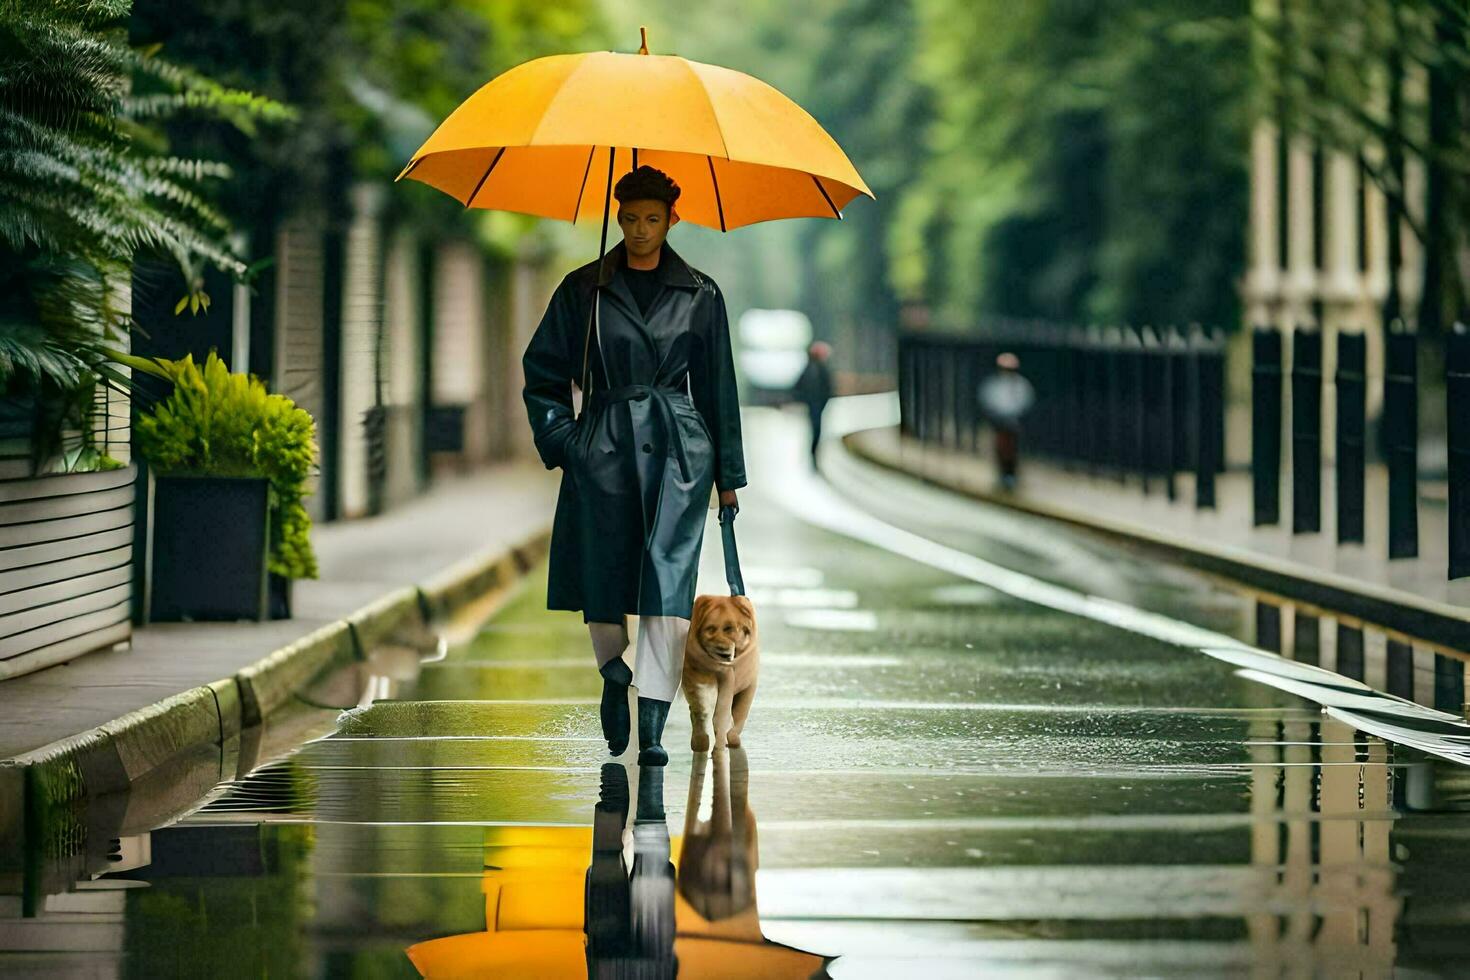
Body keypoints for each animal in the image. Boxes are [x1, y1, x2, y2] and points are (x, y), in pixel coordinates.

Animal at [685, 593, 764, 758]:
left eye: (729, 629)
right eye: (710, 628)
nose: (723, 650)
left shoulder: (748, 685)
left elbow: (739, 712)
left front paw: (731, 738)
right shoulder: (696, 679)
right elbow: (703, 710)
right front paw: (703, 740)